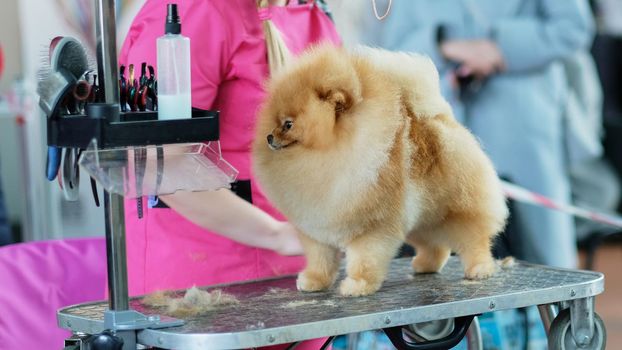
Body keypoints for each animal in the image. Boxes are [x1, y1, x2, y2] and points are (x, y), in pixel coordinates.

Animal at [251, 43, 510, 296]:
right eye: (274, 122)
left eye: (288, 124)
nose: (269, 137)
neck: (326, 155)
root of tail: (442, 118)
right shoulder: (317, 230)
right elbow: (320, 259)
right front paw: (315, 281)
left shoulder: (372, 227)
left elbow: (364, 259)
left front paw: (357, 285)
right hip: (422, 219)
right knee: (435, 245)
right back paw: (425, 265)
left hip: (457, 209)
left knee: (474, 238)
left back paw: (480, 268)